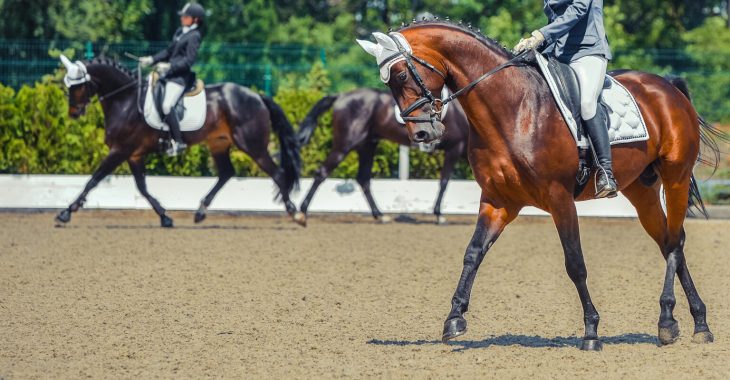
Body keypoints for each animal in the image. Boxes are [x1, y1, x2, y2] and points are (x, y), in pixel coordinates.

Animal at [53, 56, 298, 227]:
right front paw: (165, 217)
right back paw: (200, 212)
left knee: (277, 174)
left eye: (77, 85)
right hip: (218, 143)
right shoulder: (134, 154)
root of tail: (258, 96)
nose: (73, 113)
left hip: (252, 145)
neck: (126, 100)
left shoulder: (120, 150)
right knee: (226, 173)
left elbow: (94, 179)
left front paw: (66, 212)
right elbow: (142, 188)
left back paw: (295, 213)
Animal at [290, 88, 466, 226]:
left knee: (363, 179)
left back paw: (380, 216)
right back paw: (302, 213)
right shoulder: (456, 148)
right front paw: (439, 215)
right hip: (345, 145)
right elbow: (444, 182)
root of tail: (341, 96)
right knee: (323, 173)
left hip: (367, 146)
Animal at [356, 22, 724, 350]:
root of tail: (667, 86)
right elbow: (473, 253)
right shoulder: (497, 201)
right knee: (669, 242)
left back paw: (671, 321)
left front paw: (591, 331)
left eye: (401, 75)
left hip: (675, 177)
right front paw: (454, 319)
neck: (514, 110)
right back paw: (695, 323)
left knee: (674, 242)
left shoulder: (560, 198)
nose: (422, 134)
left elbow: (575, 263)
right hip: (641, 190)